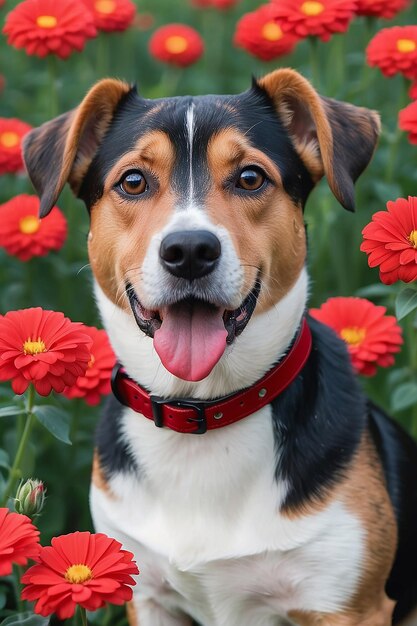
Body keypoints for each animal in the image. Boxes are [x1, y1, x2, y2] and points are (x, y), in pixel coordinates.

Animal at [22, 69, 416, 624]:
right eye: (133, 182)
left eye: (250, 178)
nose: (189, 251)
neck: (203, 412)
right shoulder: (147, 595)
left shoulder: (346, 605)